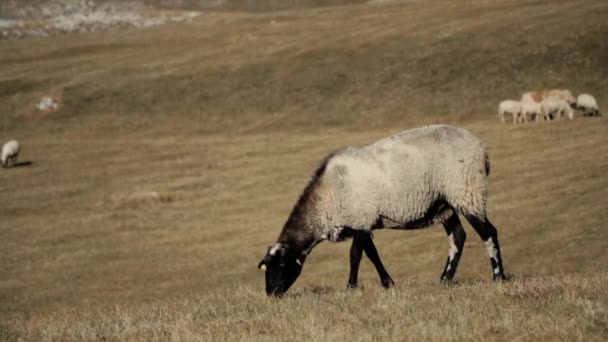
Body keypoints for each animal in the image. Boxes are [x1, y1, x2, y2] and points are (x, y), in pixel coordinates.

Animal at [258, 124, 506, 296]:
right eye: (266, 267)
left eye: (281, 265)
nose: (272, 294)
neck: (325, 200)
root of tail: (482, 149)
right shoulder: (363, 222)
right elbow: (372, 254)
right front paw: (388, 283)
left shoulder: (360, 218)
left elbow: (355, 256)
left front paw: (351, 287)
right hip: (445, 204)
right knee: (458, 237)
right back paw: (445, 280)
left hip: (467, 191)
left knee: (488, 232)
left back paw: (499, 277)